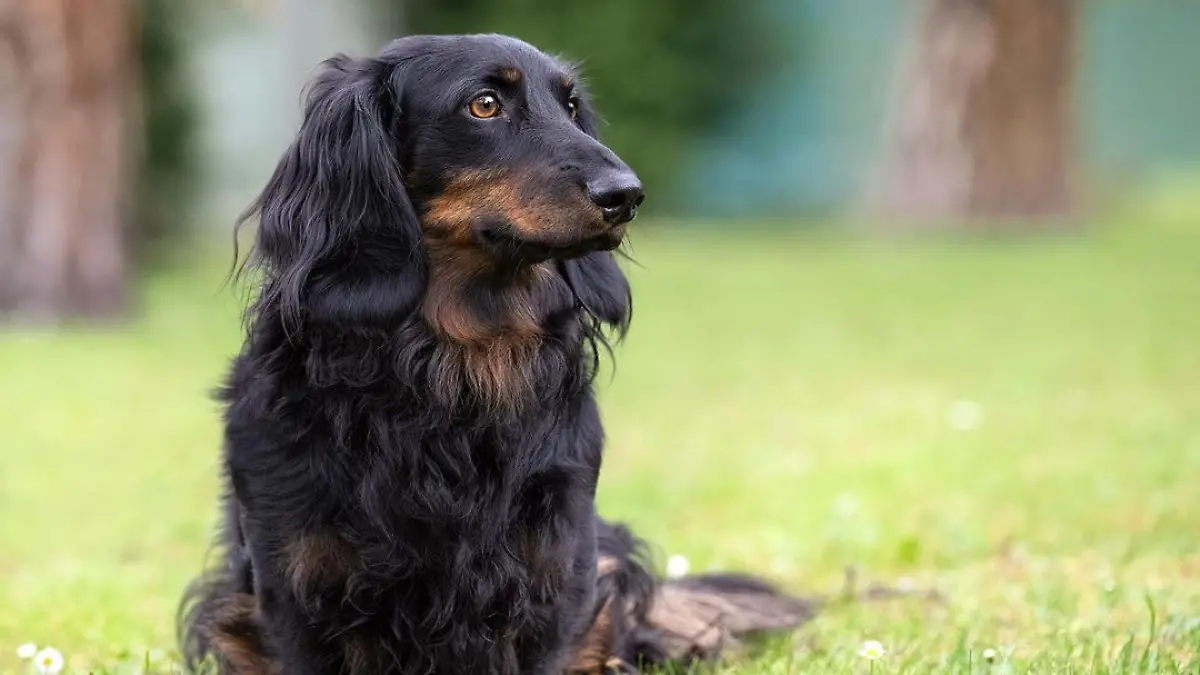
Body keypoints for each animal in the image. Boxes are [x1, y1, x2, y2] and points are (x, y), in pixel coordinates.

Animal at [177, 34, 816, 667]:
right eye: (484, 104)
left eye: (572, 106)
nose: (627, 196)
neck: (458, 370)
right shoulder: (296, 590)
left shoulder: (555, 579)